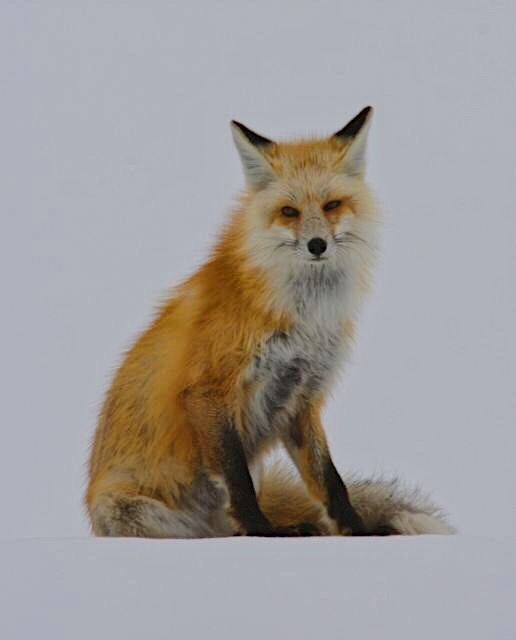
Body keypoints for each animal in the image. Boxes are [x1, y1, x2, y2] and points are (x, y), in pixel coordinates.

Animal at [85, 107, 453, 538]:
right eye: (289, 212)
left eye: (332, 205)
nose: (316, 245)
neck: (305, 315)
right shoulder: (208, 390)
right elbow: (237, 480)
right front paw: (263, 531)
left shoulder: (301, 396)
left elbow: (330, 481)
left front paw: (357, 532)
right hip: (136, 515)